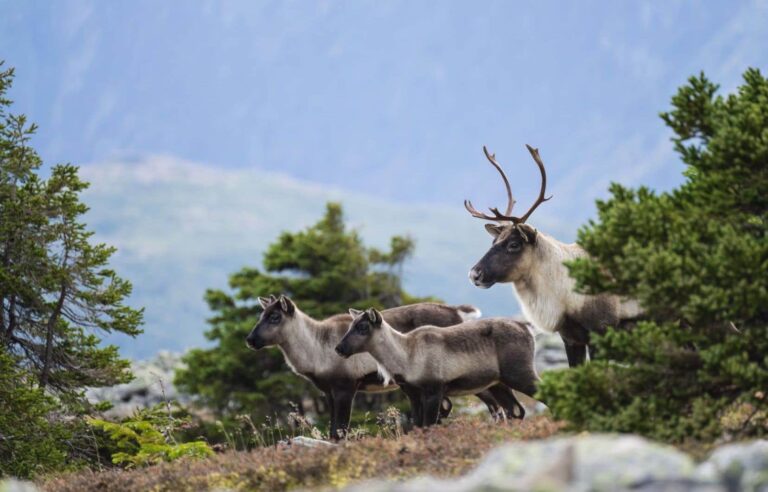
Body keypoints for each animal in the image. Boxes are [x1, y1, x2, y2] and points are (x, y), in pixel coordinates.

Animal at [336, 308, 540, 426]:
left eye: (363, 327)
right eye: (351, 325)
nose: (339, 348)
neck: (406, 356)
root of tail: (526, 328)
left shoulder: (434, 390)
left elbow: (429, 425)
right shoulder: (414, 394)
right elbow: (417, 426)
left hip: (519, 374)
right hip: (498, 384)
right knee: (516, 411)